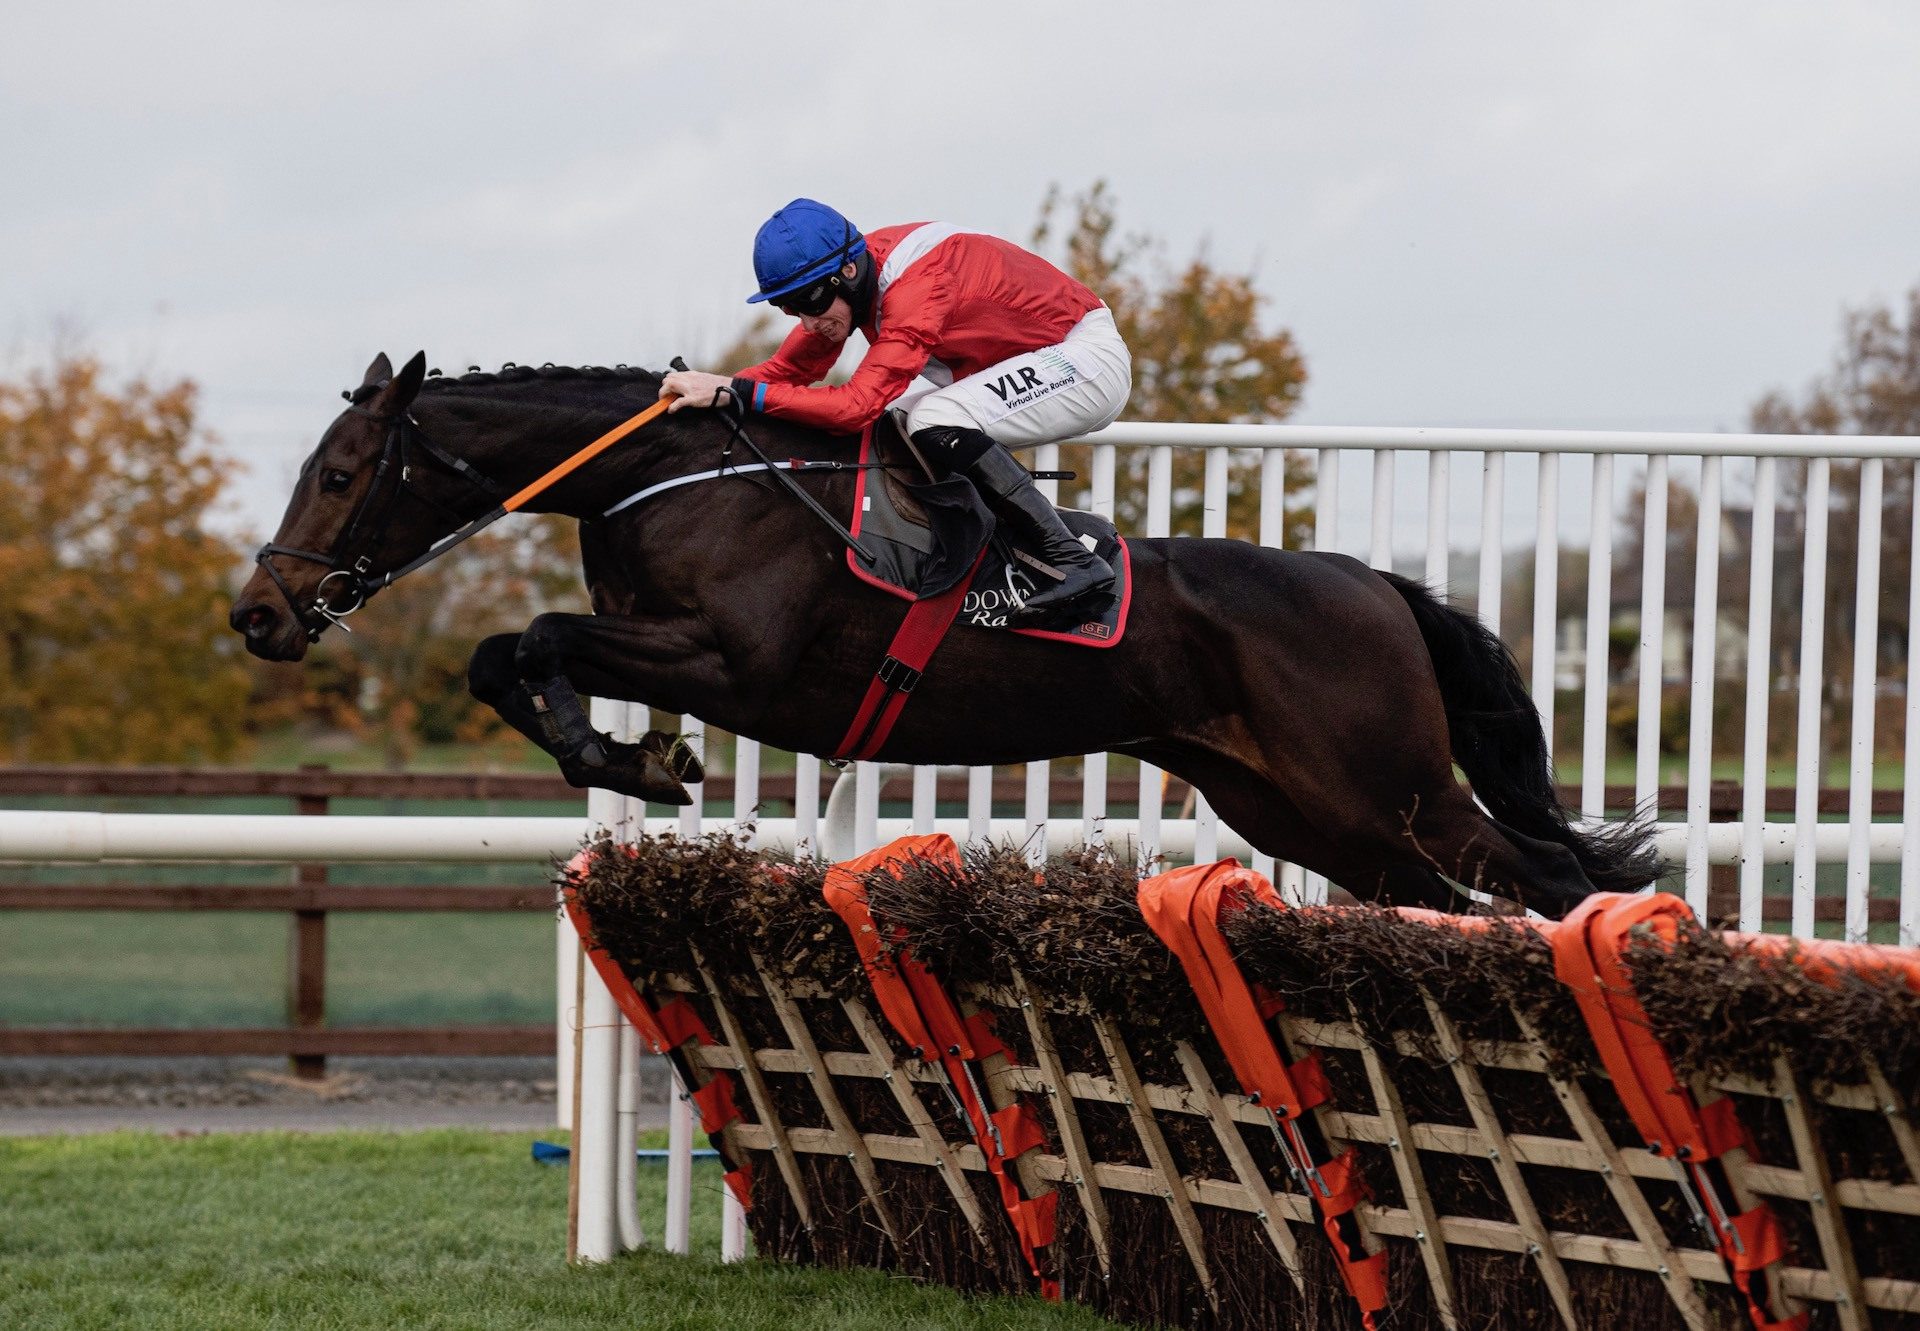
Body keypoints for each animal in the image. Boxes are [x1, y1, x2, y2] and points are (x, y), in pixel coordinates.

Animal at [232, 347, 1658, 918]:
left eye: (345, 470)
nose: (259, 612)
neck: (679, 478)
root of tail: (1374, 582)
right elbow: (504, 653)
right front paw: (632, 757)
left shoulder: (735, 665)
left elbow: (530, 636)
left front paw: (631, 758)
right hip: (1307, 810)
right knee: (1447, 900)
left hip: (1388, 784)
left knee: (1547, 874)